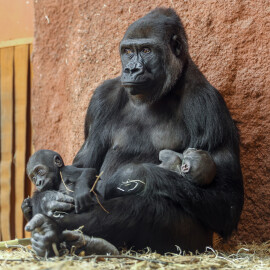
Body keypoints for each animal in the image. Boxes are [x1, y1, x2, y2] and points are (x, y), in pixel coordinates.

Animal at [26, 7, 244, 255]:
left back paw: (55, 233)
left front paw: (132, 174)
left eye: (147, 50)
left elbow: (227, 200)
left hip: (198, 244)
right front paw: (47, 199)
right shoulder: (100, 99)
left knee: (146, 207)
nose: (131, 69)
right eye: (128, 51)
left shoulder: (207, 105)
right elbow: (81, 166)